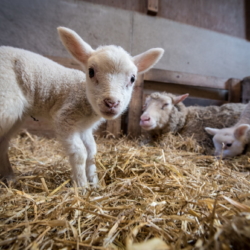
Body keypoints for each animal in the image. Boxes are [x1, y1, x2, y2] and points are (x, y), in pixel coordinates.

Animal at [0, 27, 164, 188]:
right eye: (91, 71)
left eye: (132, 78)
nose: (111, 103)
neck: (85, 100)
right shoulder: (66, 118)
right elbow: (80, 153)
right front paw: (82, 186)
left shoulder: (84, 128)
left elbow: (92, 152)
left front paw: (95, 183)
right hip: (7, 103)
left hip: (16, 118)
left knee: (3, 142)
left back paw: (10, 178)